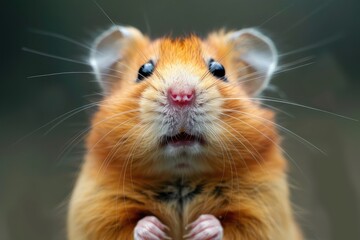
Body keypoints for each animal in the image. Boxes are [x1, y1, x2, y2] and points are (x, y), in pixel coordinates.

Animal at [67, 25, 304, 239]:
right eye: (143, 70)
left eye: (219, 70)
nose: (181, 96)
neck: (181, 174)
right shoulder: (96, 210)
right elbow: (124, 227)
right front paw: (153, 229)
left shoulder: (265, 211)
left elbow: (235, 227)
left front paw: (202, 228)